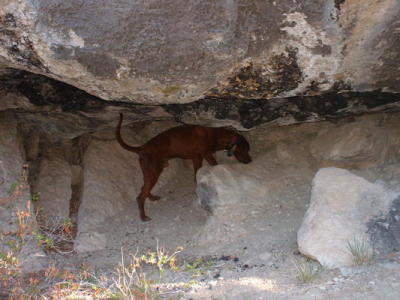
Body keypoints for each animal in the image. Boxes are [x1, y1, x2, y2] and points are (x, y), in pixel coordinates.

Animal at [116, 113, 250, 221]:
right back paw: (143, 217)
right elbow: (197, 174)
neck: (216, 135)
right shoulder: (198, 158)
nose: (250, 161)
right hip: (154, 172)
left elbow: (214, 164)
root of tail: (142, 147)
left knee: (143, 188)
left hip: (150, 172)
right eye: (246, 148)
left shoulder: (207, 155)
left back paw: (152, 197)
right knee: (140, 196)